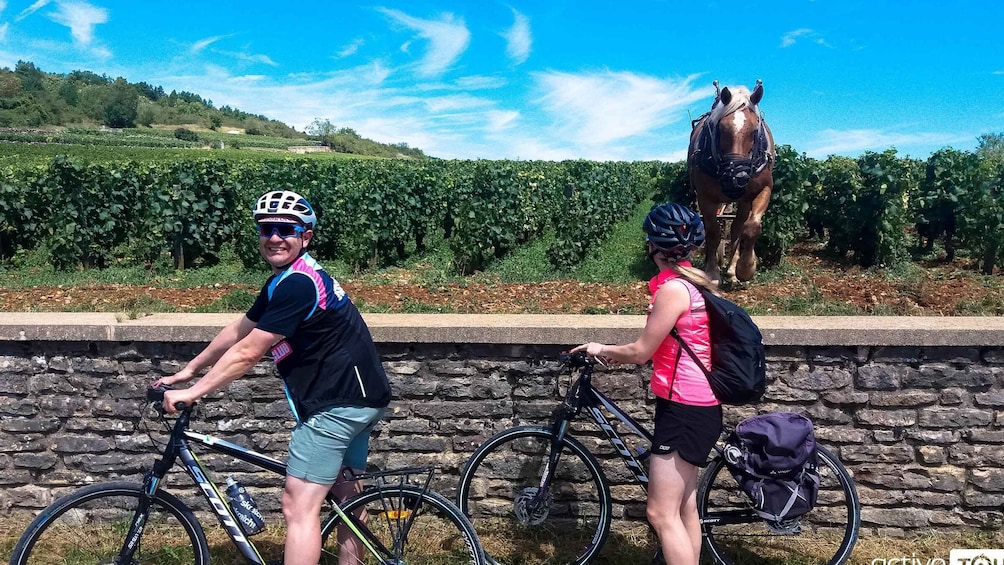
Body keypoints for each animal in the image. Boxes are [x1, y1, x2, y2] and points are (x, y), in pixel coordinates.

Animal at [690, 79, 775, 287]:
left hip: (744, 200)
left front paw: (745, 268)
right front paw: (712, 272)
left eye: (755, 132)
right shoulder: (705, 195)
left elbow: (751, 227)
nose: (737, 177)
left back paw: (731, 270)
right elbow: (713, 232)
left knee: (737, 227)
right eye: (720, 129)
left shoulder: (764, 189)